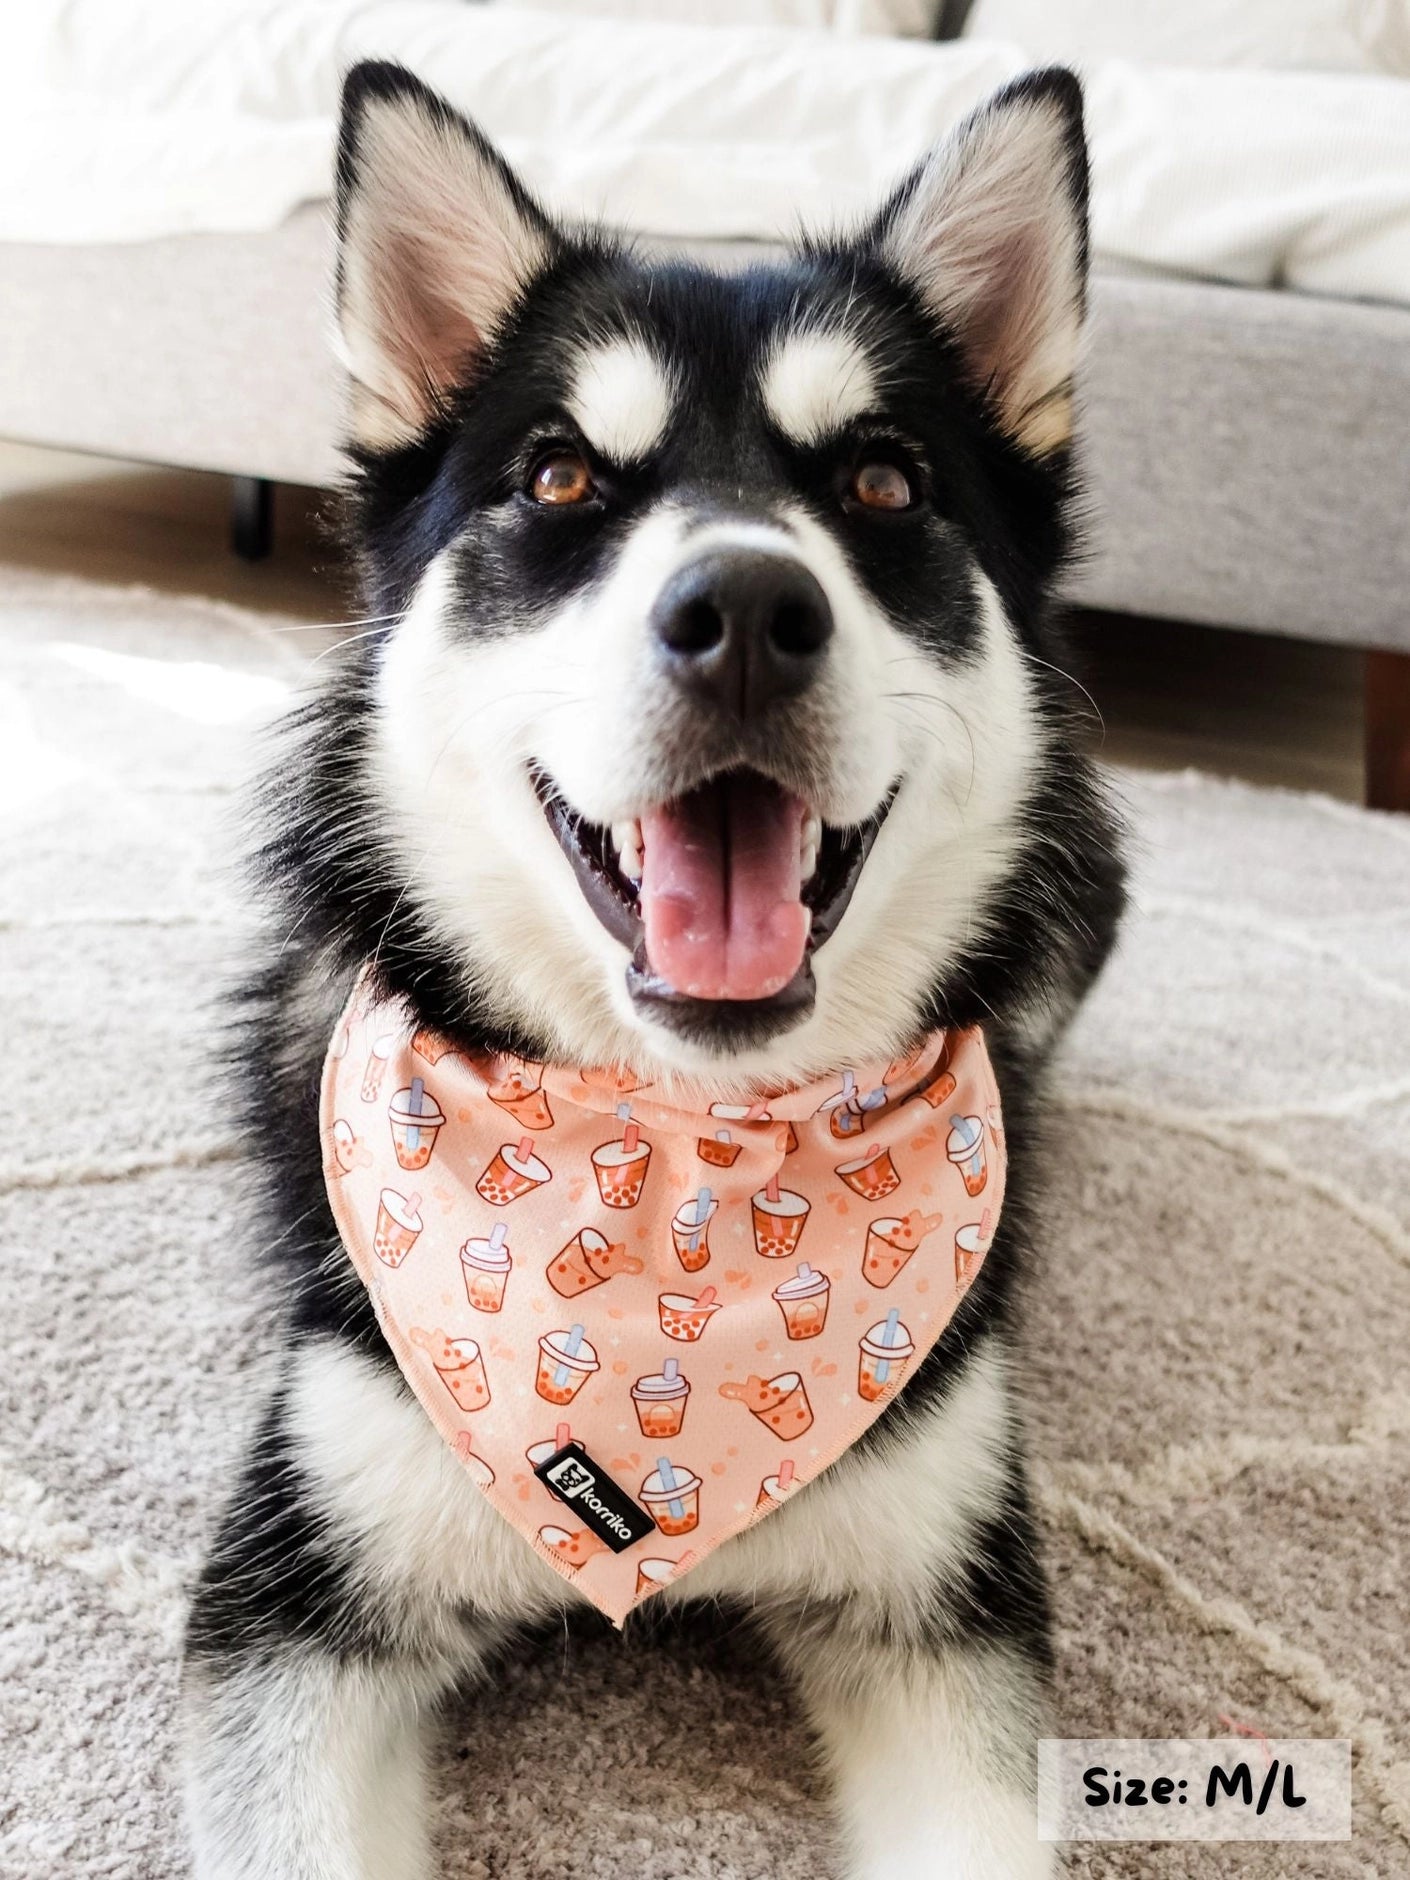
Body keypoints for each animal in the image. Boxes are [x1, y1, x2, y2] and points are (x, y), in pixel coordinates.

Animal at [182, 58, 1128, 1880]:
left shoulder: (946, 1620)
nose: (744, 608)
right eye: (559, 483)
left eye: (885, 486)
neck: (676, 1159)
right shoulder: (299, 1607)